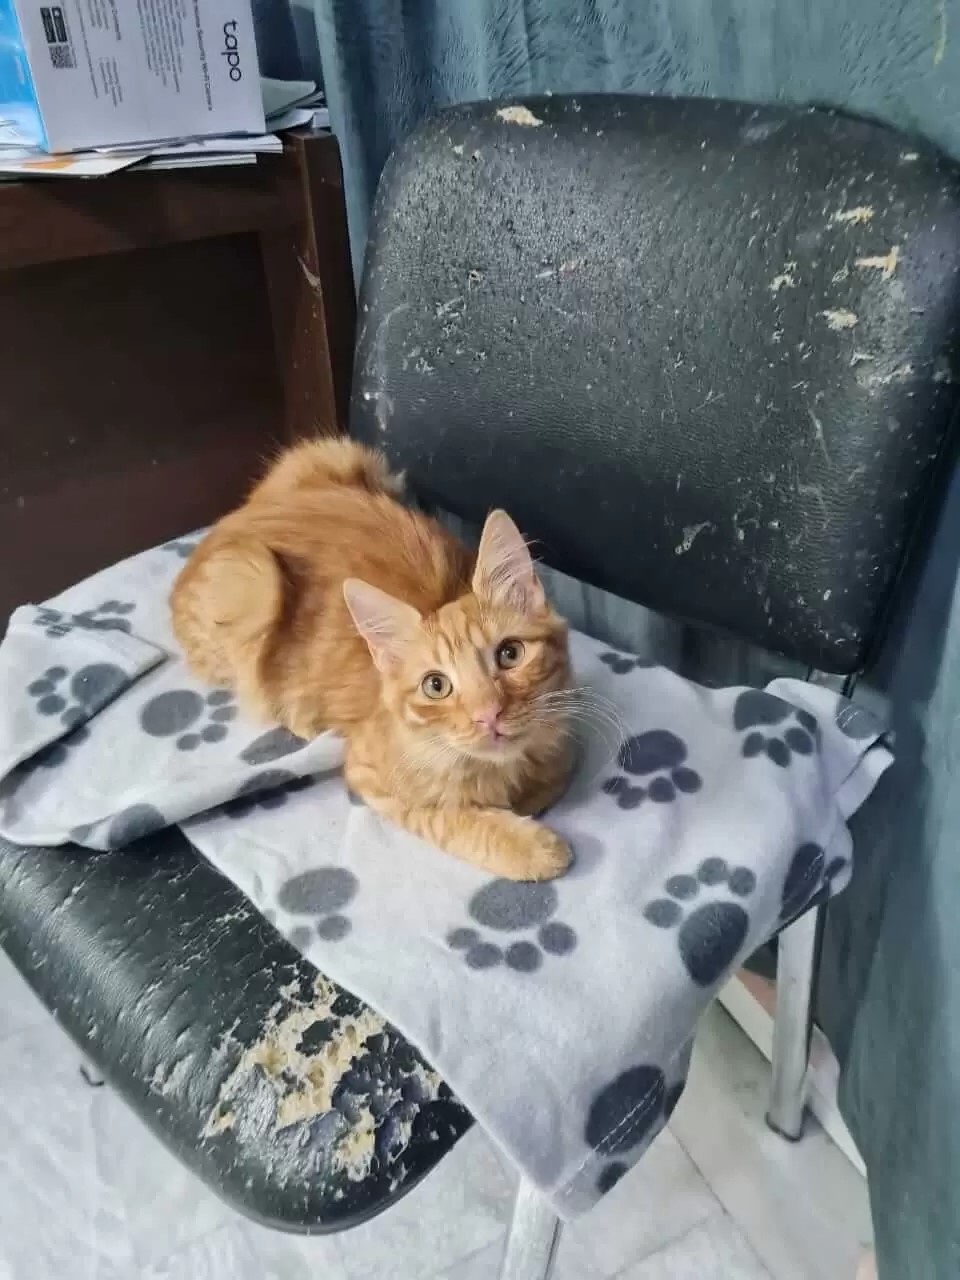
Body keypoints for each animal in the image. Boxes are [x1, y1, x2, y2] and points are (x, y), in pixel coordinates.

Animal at [171, 437, 576, 881]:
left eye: (510, 654)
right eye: (436, 685)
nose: (489, 715)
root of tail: (232, 520)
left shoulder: (565, 740)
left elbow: (555, 773)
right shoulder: (372, 777)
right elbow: (446, 816)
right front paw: (529, 846)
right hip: (255, 582)